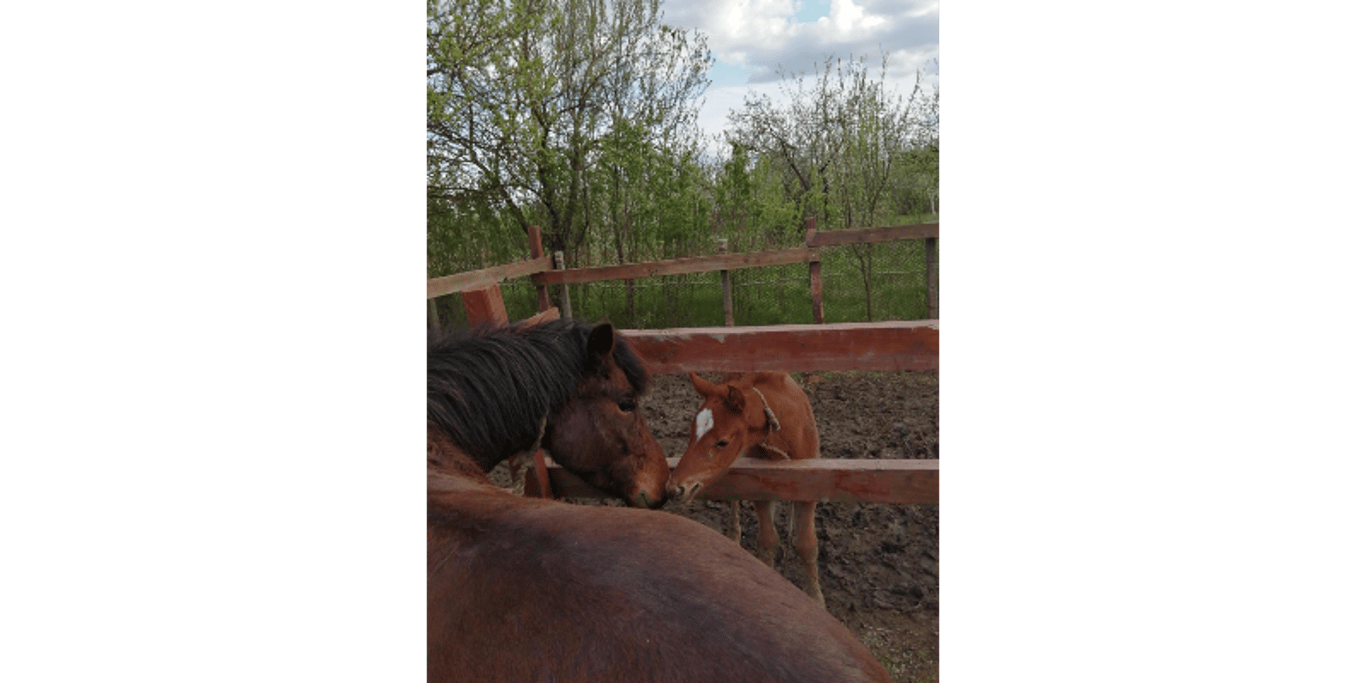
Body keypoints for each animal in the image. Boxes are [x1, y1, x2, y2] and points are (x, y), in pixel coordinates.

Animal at [667, 371, 826, 607]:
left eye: (722, 442)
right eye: (691, 432)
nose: (675, 488)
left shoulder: (809, 486)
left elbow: (807, 546)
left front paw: (816, 599)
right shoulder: (760, 487)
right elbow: (768, 542)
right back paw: (733, 533)